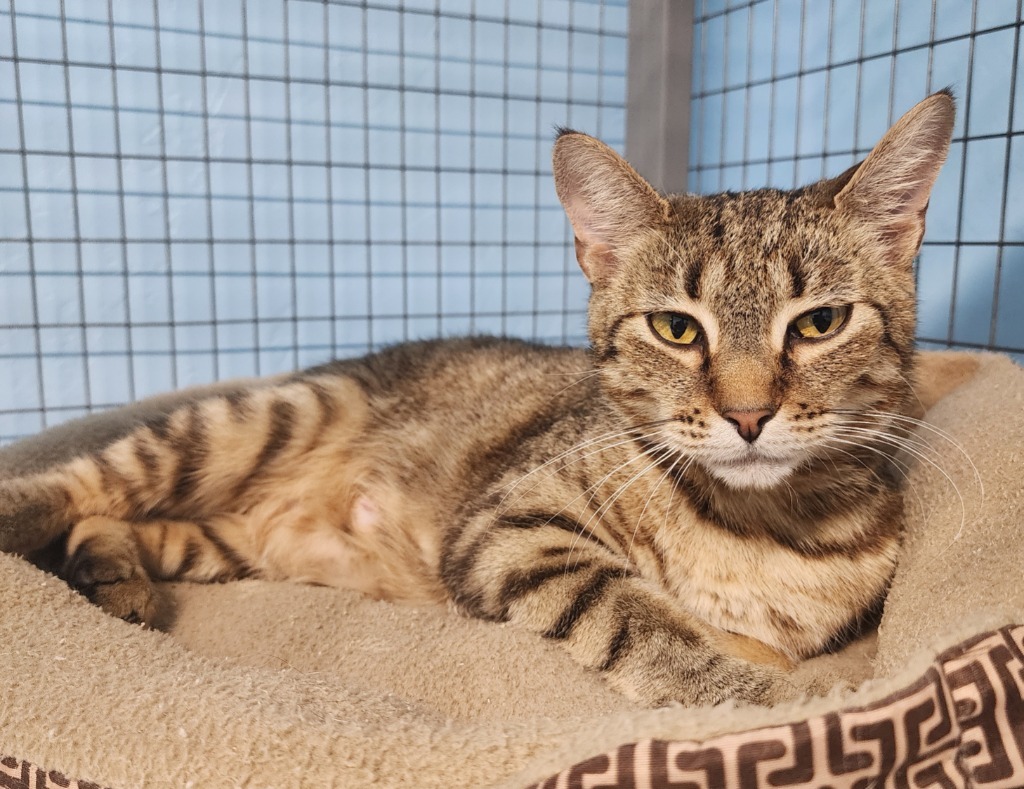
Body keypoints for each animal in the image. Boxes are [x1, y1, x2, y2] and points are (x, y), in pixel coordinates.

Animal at [0, 92, 950, 708]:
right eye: (677, 329)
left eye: (820, 322)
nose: (748, 415)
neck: (760, 522)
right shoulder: (511, 524)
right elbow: (642, 618)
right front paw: (756, 702)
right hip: (250, 422)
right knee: (83, 485)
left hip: (232, 543)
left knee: (124, 524)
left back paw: (113, 576)